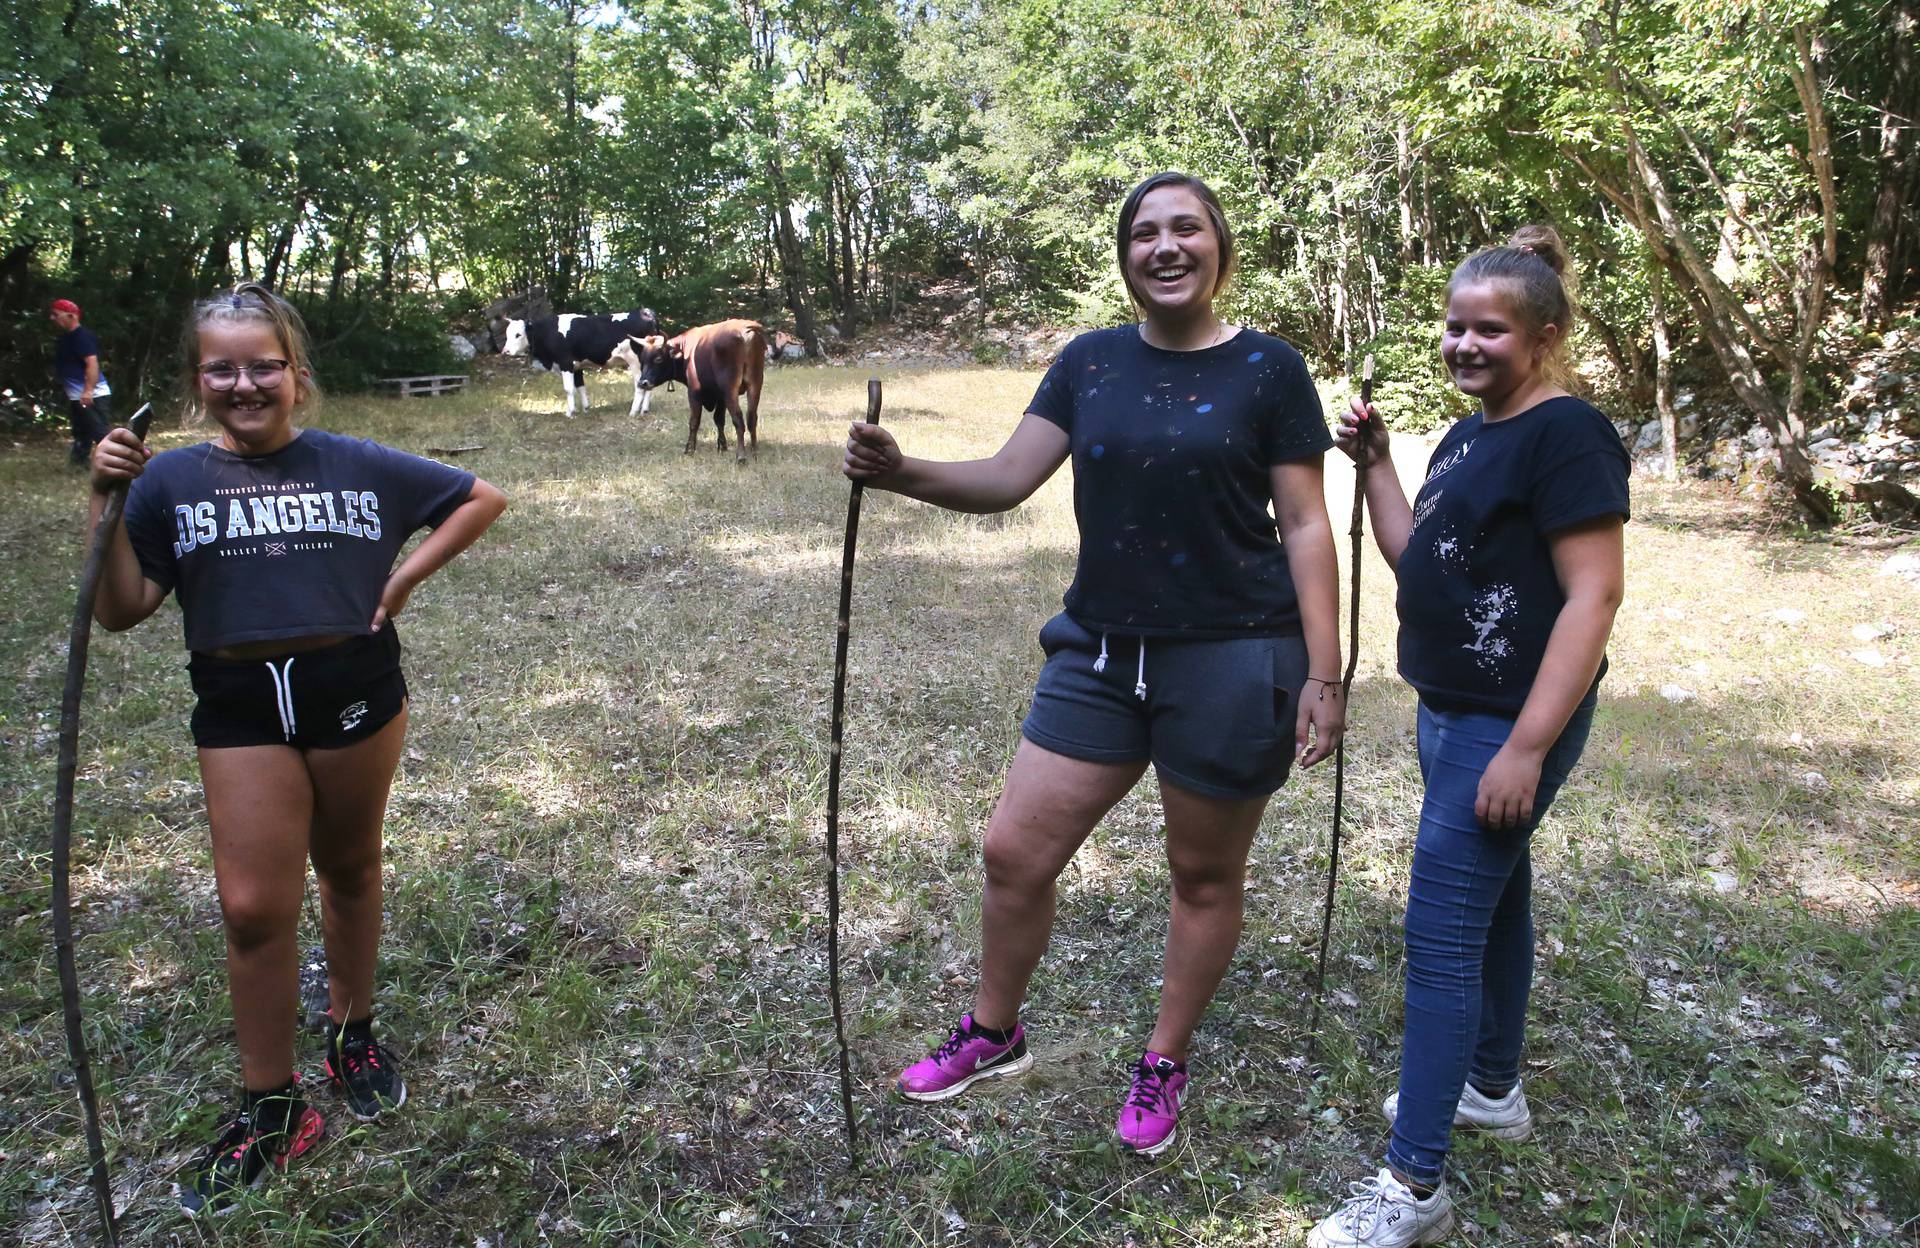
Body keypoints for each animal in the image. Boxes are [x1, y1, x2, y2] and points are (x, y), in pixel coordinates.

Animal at [499, 307, 664, 414]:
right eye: (507, 334)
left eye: (518, 334)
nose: (505, 351)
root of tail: (645, 312)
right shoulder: (576, 366)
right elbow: (580, 387)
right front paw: (585, 408)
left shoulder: (565, 362)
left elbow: (568, 388)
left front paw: (570, 412)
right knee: (648, 385)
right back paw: (644, 410)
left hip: (635, 362)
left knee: (640, 386)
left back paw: (634, 411)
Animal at [614, 318, 764, 458]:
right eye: (642, 360)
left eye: (658, 359)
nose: (642, 383)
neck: (685, 351)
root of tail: (746, 331)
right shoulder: (720, 397)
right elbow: (719, 420)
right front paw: (722, 446)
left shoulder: (694, 392)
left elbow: (694, 421)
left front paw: (690, 449)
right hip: (755, 385)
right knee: (751, 417)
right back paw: (754, 451)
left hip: (730, 389)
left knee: (738, 419)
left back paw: (741, 456)